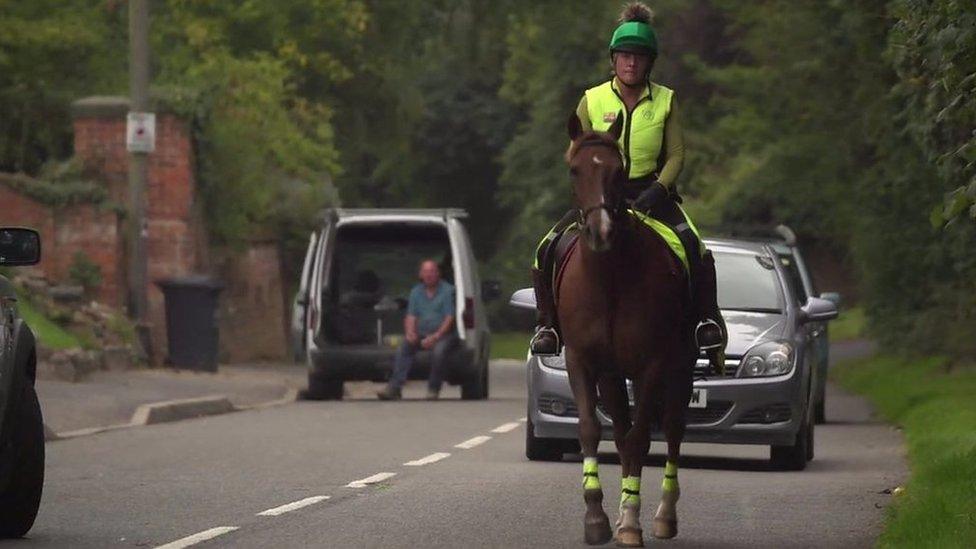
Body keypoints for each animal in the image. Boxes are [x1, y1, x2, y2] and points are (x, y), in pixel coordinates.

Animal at [556, 111, 692, 544]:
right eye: (574, 169)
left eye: (618, 171)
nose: (600, 232)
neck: (609, 279)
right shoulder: (583, 361)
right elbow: (590, 430)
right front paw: (597, 518)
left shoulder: (653, 365)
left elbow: (639, 440)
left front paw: (631, 522)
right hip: (613, 376)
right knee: (618, 428)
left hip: (682, 365)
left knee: (673, 429)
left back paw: (664, 515)